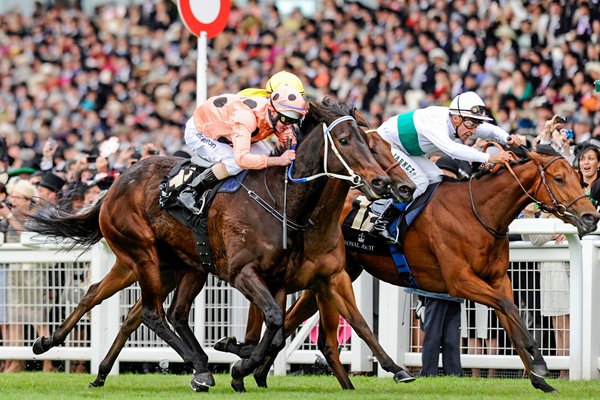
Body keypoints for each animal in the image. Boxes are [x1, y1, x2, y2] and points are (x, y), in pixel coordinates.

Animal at [25, 98, 414, 392]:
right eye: (346, 140)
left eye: (368, 141)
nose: (385, 183)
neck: (283, 201)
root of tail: (116, 184)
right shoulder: (242, 272)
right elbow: (274, 322)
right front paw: (239, 364)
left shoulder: (287, 278)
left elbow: (280, 330)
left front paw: (240, 361)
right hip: (143, 252)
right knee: (153, 313)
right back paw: (199, 367)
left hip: (172, 265)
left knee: (123, 302)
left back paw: (68, 354)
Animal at [223, 145, 596, 392]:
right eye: (559, 178)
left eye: (580, 176)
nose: (591, 217)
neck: (478, 212)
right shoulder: (460, 281)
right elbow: (509, 310)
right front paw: (541, 363)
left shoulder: (497, 279)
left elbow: (511, 317)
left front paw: (540, 378)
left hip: (335, 275)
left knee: (290, 319)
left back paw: (255, 370)